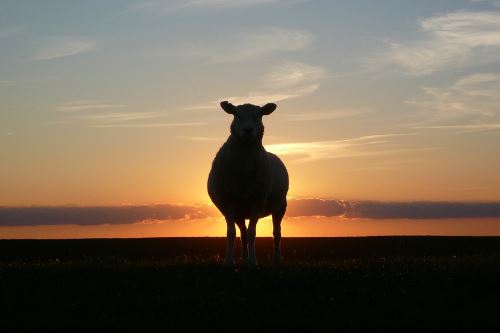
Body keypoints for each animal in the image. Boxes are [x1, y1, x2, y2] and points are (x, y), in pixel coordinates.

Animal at [206, 101, 288, 268]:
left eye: (260, 114)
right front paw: (229, 261)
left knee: (277, 233)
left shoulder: (258, 200)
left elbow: (252, 232)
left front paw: (252, 262)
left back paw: (276, 259)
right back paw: (243, 258)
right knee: (242, 233)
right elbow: (231, 233)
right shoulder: (228, 202)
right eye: (236, 114)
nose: (248, 130)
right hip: (240, 212)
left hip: (280, 207)